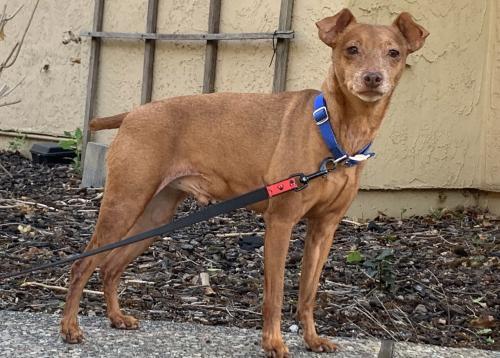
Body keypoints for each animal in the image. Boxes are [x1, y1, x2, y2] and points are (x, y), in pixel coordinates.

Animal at [60, 9, 428, 358]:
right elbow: (275, 294)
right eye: (351, 49)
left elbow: (308, 292)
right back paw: (69, 328)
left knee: (110, 266)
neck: (335, 131)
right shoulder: (280, 223)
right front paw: (274, 343)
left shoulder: (324, 229)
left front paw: (311, 339)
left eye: (394, 53)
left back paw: (116, 317)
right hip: (124, 204)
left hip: (155, 216)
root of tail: (133, 113)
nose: (373, 78)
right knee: (82, 264)